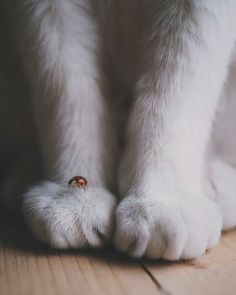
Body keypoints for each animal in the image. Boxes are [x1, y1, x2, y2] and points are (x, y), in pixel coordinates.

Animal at [1, 0, 236, 260]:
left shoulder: (199, 12)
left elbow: (173, 96)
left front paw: (163, 198)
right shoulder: (47, 11)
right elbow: (69, 97)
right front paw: (71, 199)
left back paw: (215, 186)